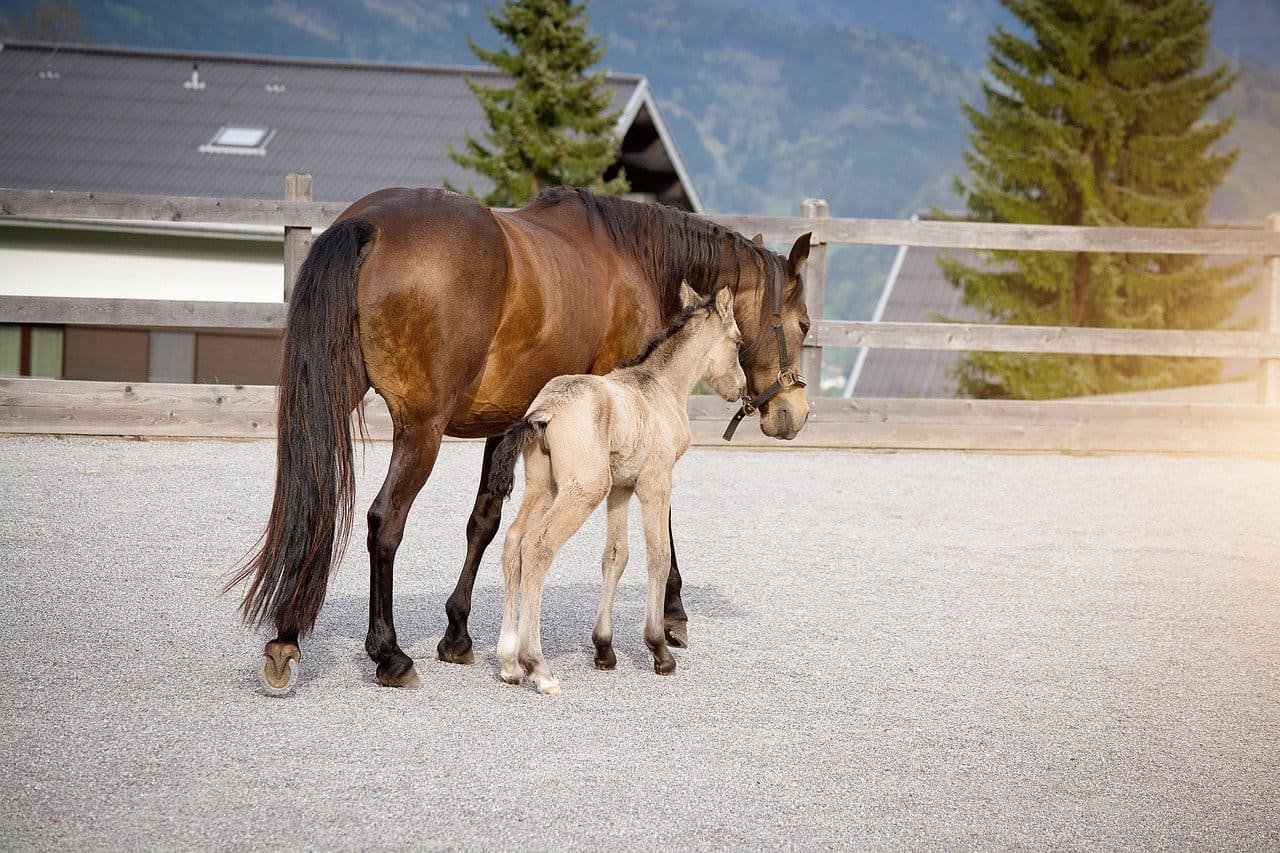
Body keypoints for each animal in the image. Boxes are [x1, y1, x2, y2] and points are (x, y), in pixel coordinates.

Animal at [488, 284, 747, 691]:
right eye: (738, 342)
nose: (741, 388)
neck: (660, 387)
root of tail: (544, 411)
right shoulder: (656, 481)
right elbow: (659, 556)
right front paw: (659, 650)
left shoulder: (621, 488)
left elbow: (615, 556)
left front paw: (604, 650)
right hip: (583, 490)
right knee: (538, 547)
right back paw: (538, 667)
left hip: (543, 488)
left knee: (514, 542)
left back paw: (510, 663)